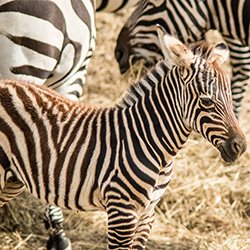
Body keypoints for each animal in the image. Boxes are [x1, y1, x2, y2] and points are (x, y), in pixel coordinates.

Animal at [0, 28, 246, 249]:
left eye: (230, 97)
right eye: (206, 101)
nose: (240, 147)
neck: (153, 144)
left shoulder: (147, 213)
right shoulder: (122, 211)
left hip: (13, 180)